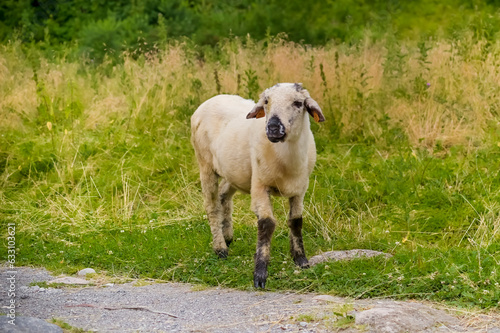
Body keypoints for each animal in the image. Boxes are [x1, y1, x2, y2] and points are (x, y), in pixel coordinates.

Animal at [190, 81, 324, 286]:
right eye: (266, 101)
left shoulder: (300, 188)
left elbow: (296, 221)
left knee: (223, 196)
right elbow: (266, 224)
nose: (273, 128)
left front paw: (301, 260)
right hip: (205, 164)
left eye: (298, 103)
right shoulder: (260, 186)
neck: (287, 159)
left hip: (235, 172)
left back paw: (227, 236)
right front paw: (260, 273)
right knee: (212, 207)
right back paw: (220, 248)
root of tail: (213, 98)